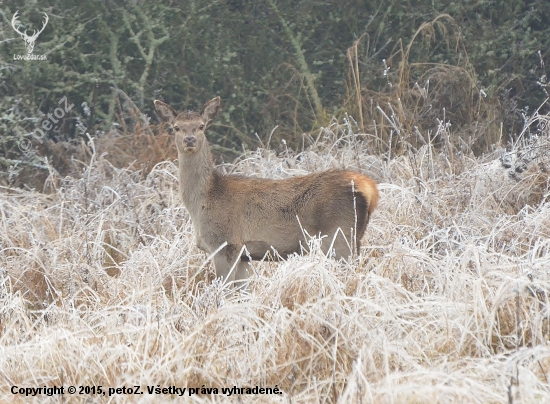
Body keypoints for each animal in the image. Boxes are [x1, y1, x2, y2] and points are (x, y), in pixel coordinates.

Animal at [155, 96, 380, 288]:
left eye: (201, 126)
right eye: (176, 127)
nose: (189, 139)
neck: (203, 201)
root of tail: (370, 188)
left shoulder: (225, 244)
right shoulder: (244, 255)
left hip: (339, 235)